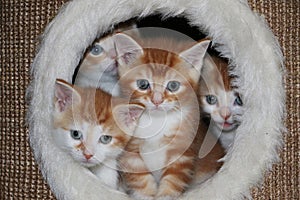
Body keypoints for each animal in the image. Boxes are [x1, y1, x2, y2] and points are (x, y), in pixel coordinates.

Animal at [112, 33, 223, 199]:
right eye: (143, 84)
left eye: (173, 85)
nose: (157, 101)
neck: (157, 122)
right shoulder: (130, 150)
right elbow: (140, 178)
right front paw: (145, 195)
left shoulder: (183, 150)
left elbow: (173, 180)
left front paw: (165, 195)